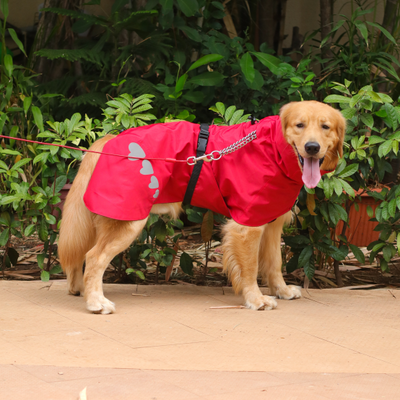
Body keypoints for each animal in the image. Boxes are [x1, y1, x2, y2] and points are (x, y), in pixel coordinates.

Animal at [57, 100, 346, 312]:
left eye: (325, 126)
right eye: (299, 125)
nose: (312, 147)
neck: (272, 148)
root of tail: (109, 140)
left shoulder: (272, 223)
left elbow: (274, 263)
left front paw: (282, 290)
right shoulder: (247, 226)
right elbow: (251, 268)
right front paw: (256, 299)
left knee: (82, 256)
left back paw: (79, 289)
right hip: (128, 221)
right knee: (94, 258)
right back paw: (96, 302)